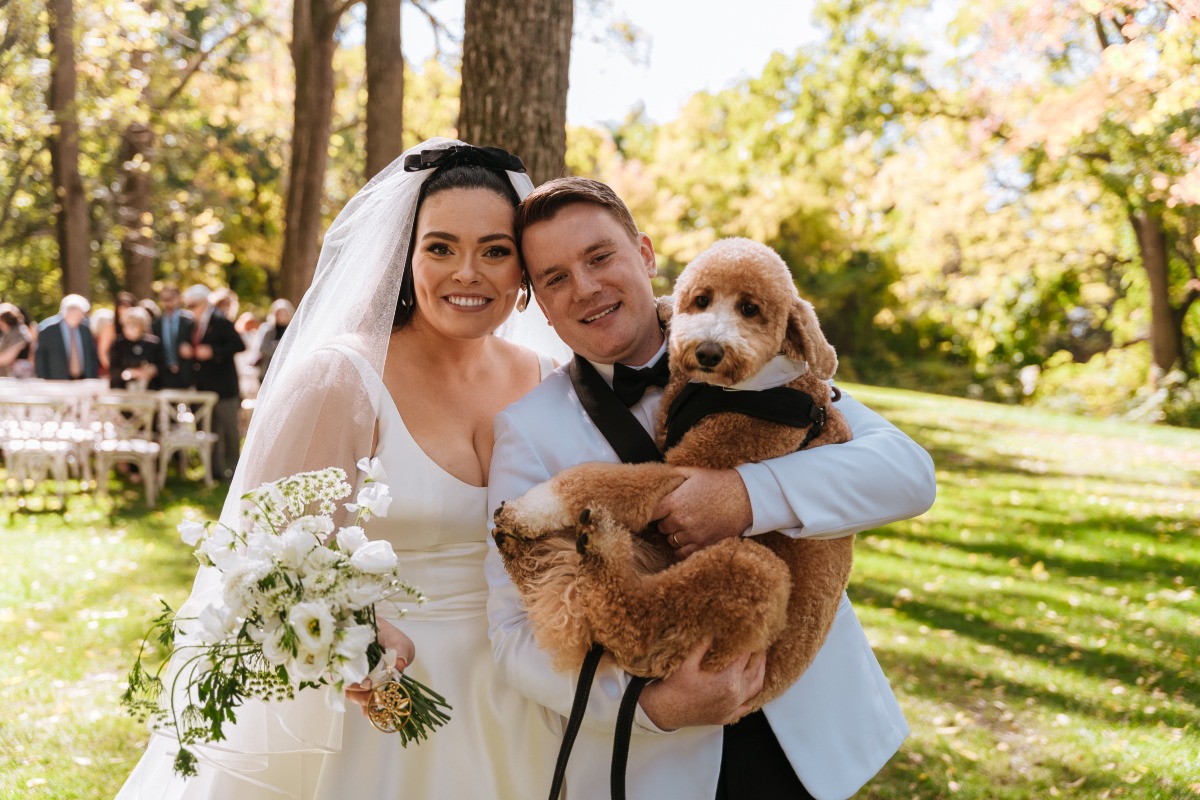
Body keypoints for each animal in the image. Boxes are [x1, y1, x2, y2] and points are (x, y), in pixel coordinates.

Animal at [494, 236, 854, 714]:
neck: (749, 389)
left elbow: (604, 479)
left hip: (750, 571)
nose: (707, 352)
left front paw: (528, 507)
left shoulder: (691, 469)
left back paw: (599, 550)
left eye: (751, 309)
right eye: (701, 300)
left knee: (633, 620)